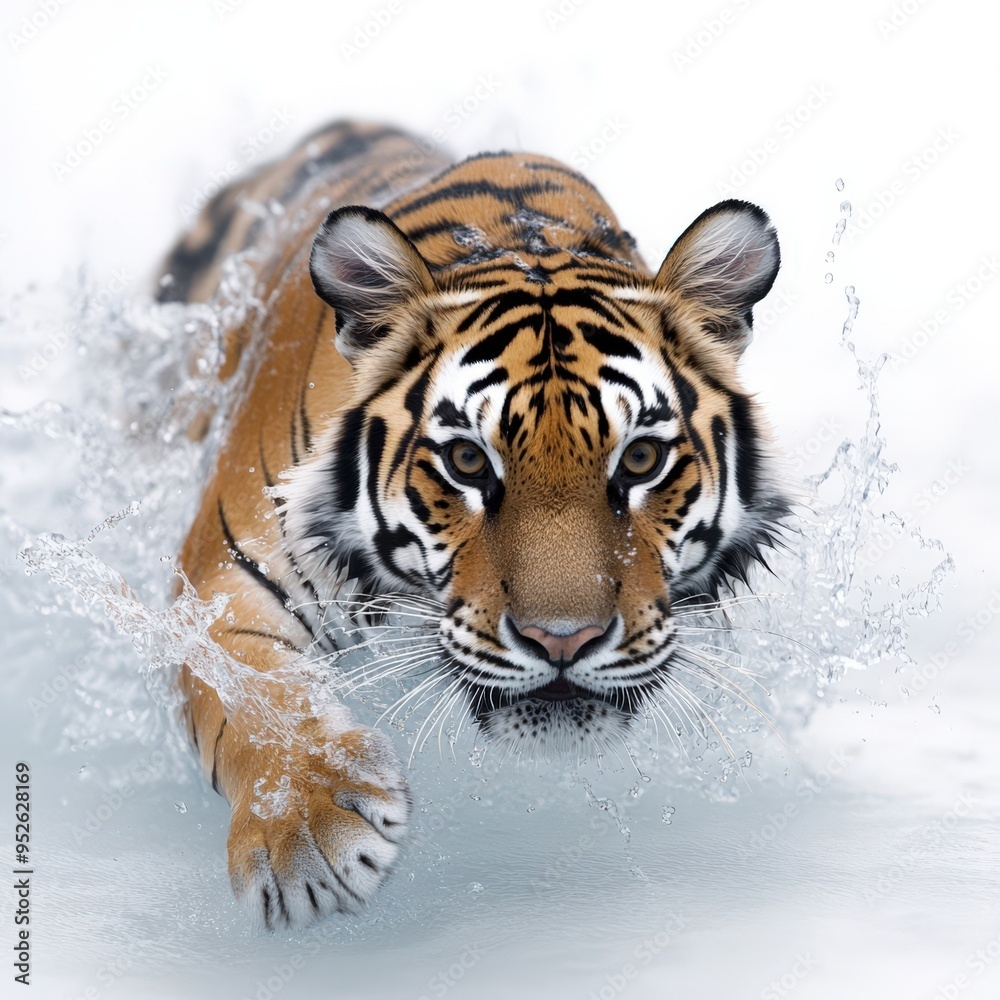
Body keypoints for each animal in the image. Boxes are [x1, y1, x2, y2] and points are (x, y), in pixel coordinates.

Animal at [158, 120, 786, 930]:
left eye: (642, 458)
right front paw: (308, 828)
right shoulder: (225, 576)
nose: (564, 640)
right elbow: (251, 692)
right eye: (466, 460)